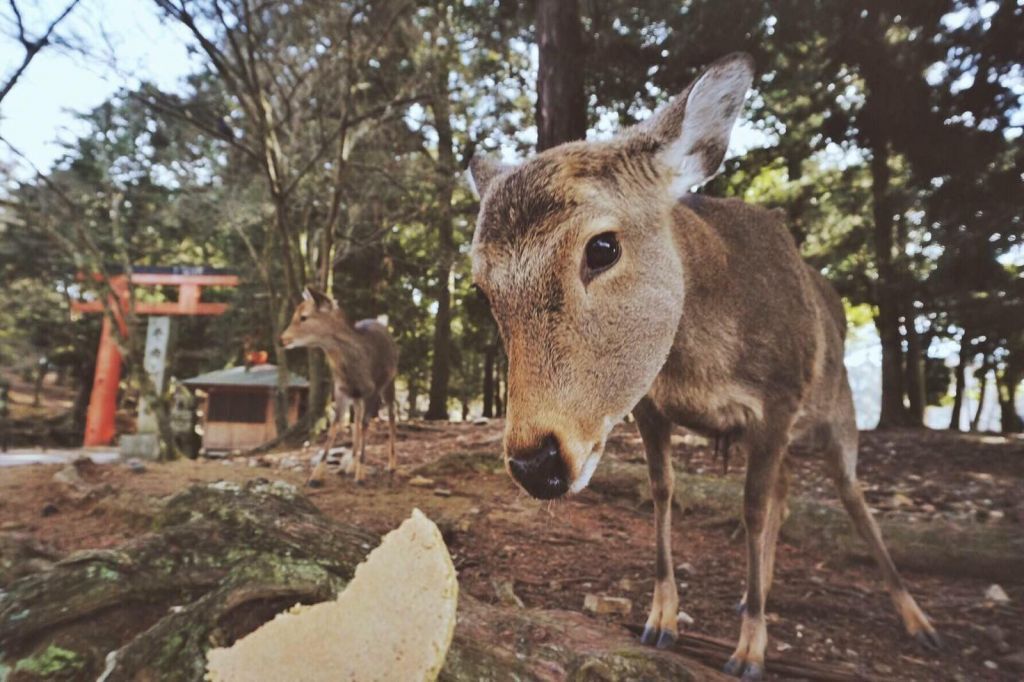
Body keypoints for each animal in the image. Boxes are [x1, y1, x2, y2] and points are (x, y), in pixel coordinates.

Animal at [280, 284, 399, 483]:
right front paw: (316, 475)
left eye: (303, 316)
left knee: (390, 415)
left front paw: (361, 474)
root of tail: (382, 322)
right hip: (357, 396)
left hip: (389, 381)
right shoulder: (341, 390)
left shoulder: (373, 390)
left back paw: (391, 464)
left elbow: (367, 424)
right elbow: (335, 427)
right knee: (356, 418)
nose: (282, 339)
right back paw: (350, 465)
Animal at [468, 54, 937, 679]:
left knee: (852, 496)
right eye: (481, 286)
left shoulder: (778, 401)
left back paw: (918, 621)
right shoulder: (650, 406)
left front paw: (750, 650)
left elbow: (752, 510)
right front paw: (660, 619)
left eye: (602, 247)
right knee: (788, 486)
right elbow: (665, 491)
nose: (535, 461)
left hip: (838, 410)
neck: (706, 364)